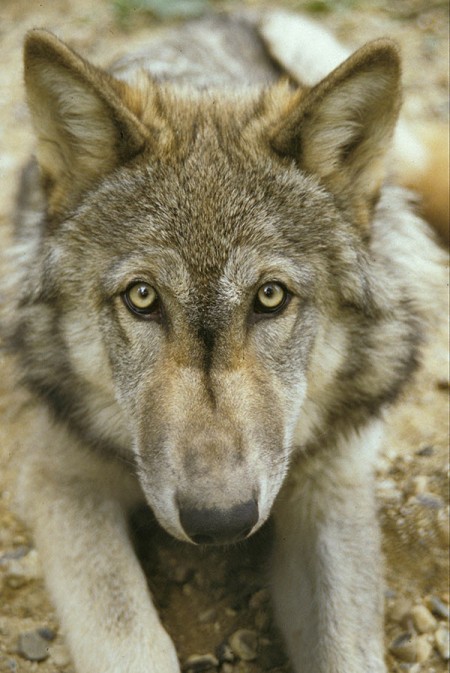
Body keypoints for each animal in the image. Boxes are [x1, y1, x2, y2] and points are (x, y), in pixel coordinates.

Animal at [3, 8, 447, 673]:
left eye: (271, 297)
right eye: (142, 297)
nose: (220, 523)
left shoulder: (332, 485)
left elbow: (349, 648)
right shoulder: (60, 476)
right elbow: (127, 639)